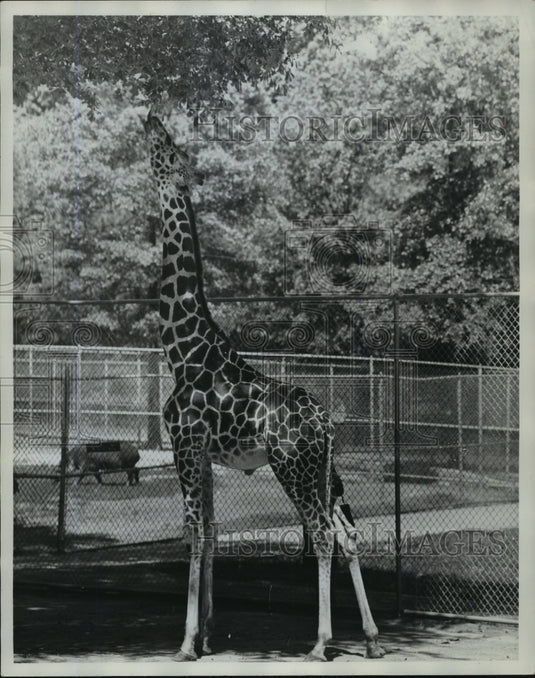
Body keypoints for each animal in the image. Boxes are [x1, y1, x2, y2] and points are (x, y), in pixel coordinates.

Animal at [143, 111, 386, 662]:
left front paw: (186, 643)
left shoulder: (184, 445)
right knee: (349, 532)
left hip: (292, 467)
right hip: (324, 470)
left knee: (322, 534)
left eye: (167, 149)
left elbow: (193, 534)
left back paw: (321, 643)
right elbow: (211, 534)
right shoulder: (204, 454)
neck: (183, 349)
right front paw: (208, 634)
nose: (150, 117)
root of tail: (326, 422)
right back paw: (370, 639)